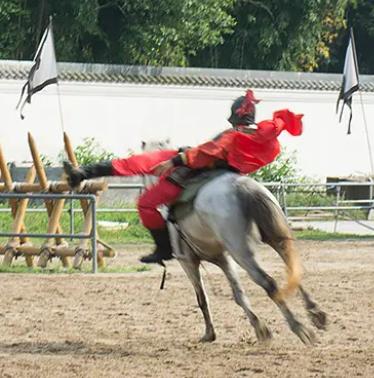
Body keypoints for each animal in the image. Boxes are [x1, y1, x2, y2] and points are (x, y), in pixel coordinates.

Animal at [168, 173, 326, 344]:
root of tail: (242, 187)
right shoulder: (224, 258)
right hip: (273, 239)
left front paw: (209, 334)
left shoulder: (187, 261)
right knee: (293, 269)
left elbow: (202, 299)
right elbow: (238, 294)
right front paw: (260, 328)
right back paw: (316, 314)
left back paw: (300, 328)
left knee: (269, 282)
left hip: (241, 253)